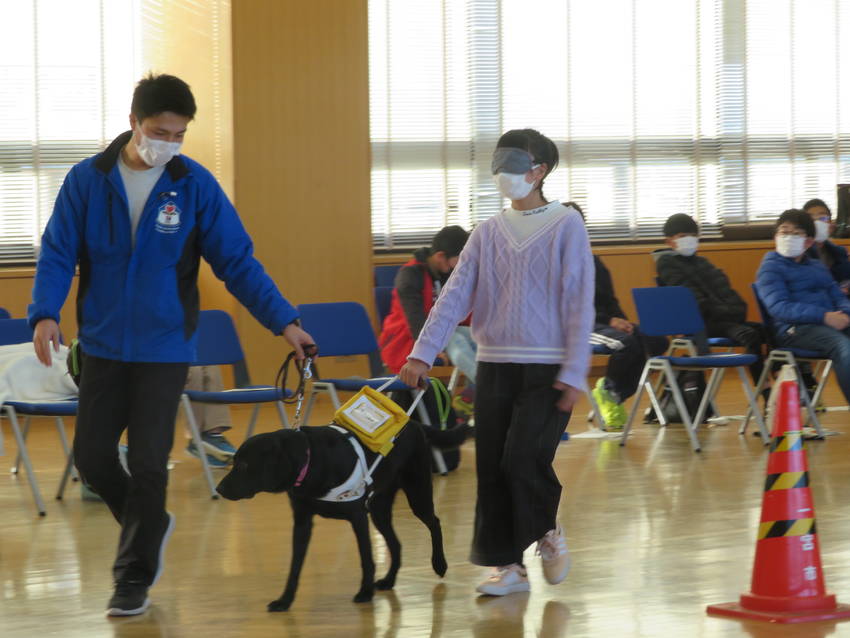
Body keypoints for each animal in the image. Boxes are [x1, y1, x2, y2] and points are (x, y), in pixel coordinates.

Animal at [215, 420, 468, 616]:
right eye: (234, 461)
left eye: (244, 464)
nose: (219, 488)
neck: (310, 461)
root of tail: (414, 422)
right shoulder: (302, 522)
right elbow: (295, 566)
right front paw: (285, 600)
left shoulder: (357, 516)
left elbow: (366, 558)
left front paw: (365, 592)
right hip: (379, 508)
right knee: (396, 544)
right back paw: (388, 580)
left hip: (417, 493)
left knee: (434, 522)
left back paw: (440, 563)